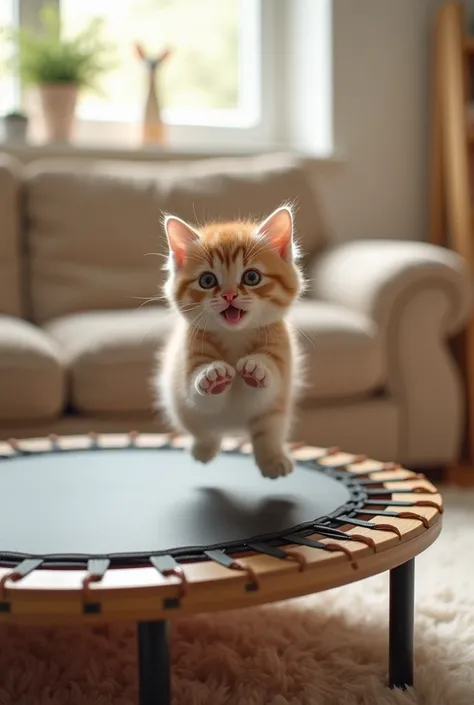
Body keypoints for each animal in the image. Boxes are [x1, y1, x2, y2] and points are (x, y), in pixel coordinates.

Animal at [156, 205, 304, 478]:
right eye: (207, 280)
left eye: (252, 277)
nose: (229, 295)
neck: (235, 335)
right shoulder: (189, 362)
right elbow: (202, 397)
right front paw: (213, 376)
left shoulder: (279, 363)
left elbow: (267, 386)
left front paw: (257, 368)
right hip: (184, 411)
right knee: (206, 432)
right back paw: (203, 449)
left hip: (276, 414)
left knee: (268, 432)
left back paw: (273, 458)